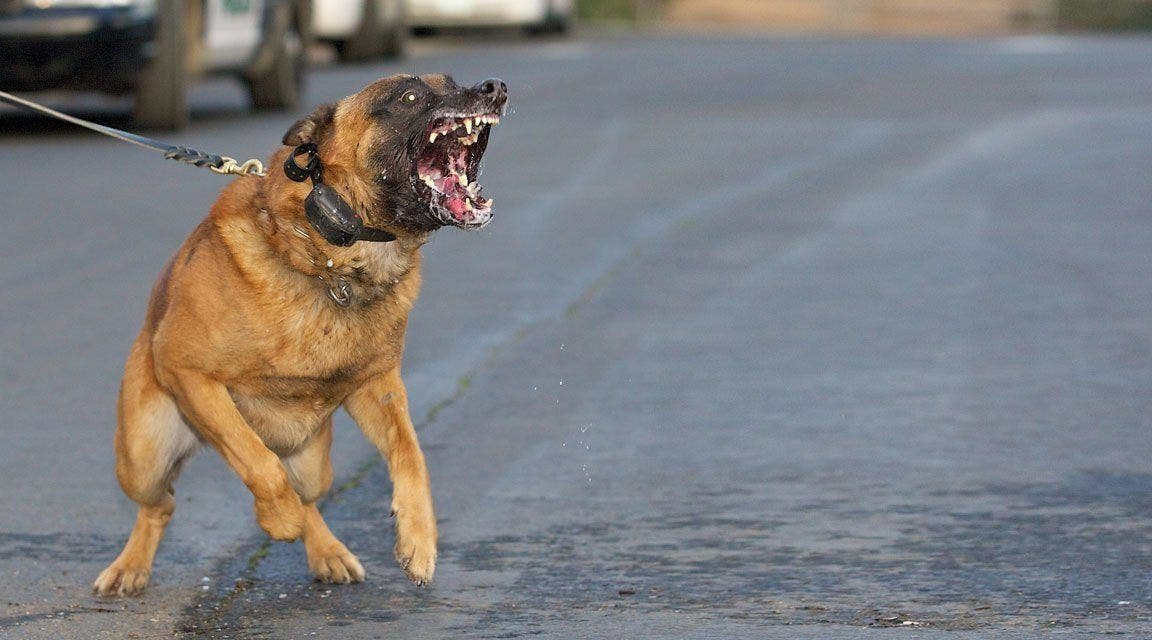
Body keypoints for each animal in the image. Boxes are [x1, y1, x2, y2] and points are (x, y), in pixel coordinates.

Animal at [96, 73, 511, 593]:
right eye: (409, 96)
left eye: (453, 82)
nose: (494, 86)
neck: (331, 261)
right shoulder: (187, 372)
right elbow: (256, 460)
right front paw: (279, 519)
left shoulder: (378, 388)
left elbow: (411, 455)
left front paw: (419, 538)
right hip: (143, 457)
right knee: (164, 502)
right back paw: (130, 566)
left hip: (314, 463)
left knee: (309, 497)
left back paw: (329, 552)